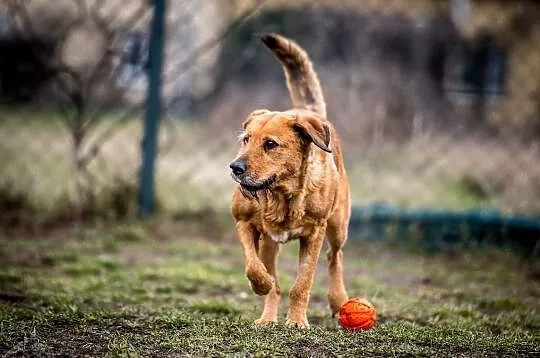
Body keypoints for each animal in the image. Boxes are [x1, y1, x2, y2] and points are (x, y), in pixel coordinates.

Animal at [228, 32, 350, 328]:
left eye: (270, 144)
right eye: (246, 139)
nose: (235, 167)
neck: (281, 196)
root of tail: (309, 113)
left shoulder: (315, 234)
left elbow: (302, 284)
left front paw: (297, 321)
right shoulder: (243, 222)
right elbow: (254, 266)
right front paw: (262, 285)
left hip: (338, 226)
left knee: (335, 256)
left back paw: (338, 300)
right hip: (271, 243)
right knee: (272, 273)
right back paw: (267, 317)